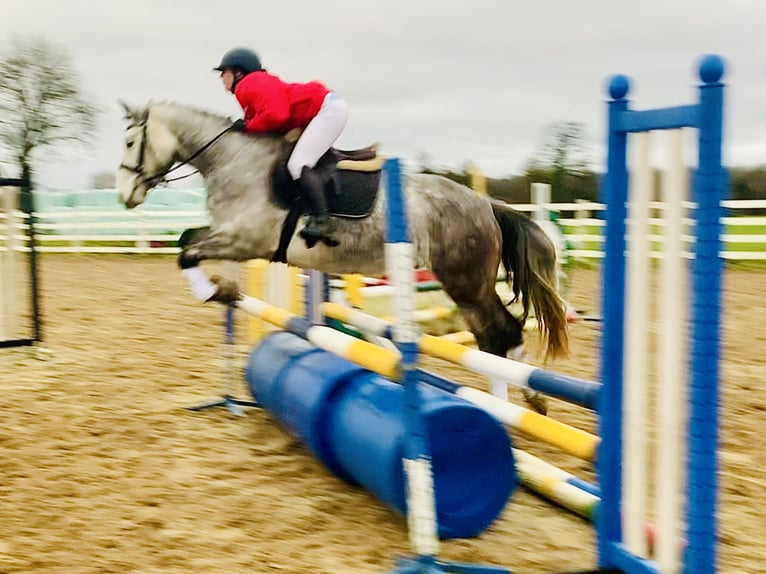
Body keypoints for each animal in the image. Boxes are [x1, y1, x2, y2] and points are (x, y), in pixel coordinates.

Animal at [114, 100, 568, 414]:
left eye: (131, 142)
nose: (124, 196)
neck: (236, 163)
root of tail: (485, 204)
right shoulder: (228, 235)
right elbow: (187, 241)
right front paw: (224, 290)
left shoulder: (244, 240)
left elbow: (187, 254)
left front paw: (214, 291)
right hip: (465, 285)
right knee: (491, 336)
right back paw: (518, 404)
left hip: (465, 281)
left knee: (503, 331)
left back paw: (522, 401)